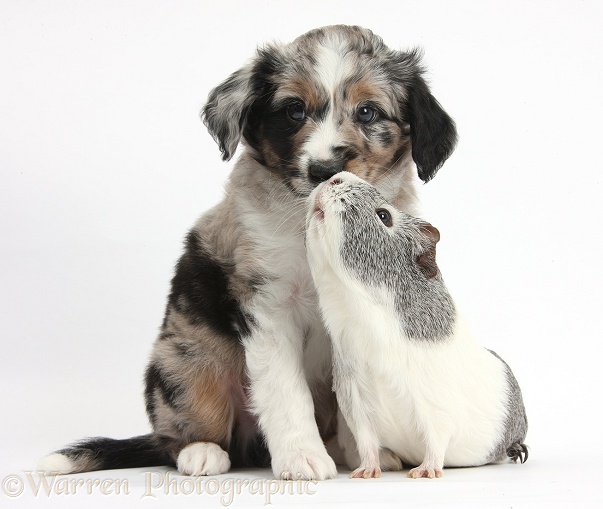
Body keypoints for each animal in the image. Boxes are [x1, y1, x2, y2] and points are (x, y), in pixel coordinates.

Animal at [37, 24, 458, 480]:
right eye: (294, 110)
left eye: (367, 112)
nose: (324, 172)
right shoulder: (268, 305)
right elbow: (286, 391)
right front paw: (302, 457)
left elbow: (355, 399)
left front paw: (368, 453)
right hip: (188, 361)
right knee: (177, 432)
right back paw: (201, 452)